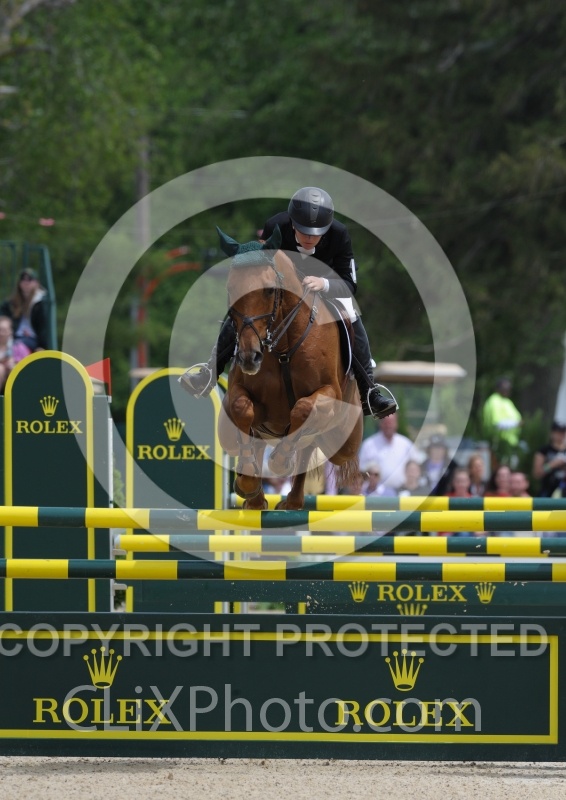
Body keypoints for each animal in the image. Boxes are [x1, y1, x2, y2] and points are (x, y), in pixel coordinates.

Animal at [217, 226, 363, 510]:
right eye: (230, 288)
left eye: (269, 291)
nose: (250, 358)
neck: (282, 347)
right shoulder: (241, 394)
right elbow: (243, 409)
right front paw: (247, 481)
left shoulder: (329, 393)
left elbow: (303, 409)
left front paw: (280, 461)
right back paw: (254, 495)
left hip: (344, 444)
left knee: (308, 445)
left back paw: (292, 499)